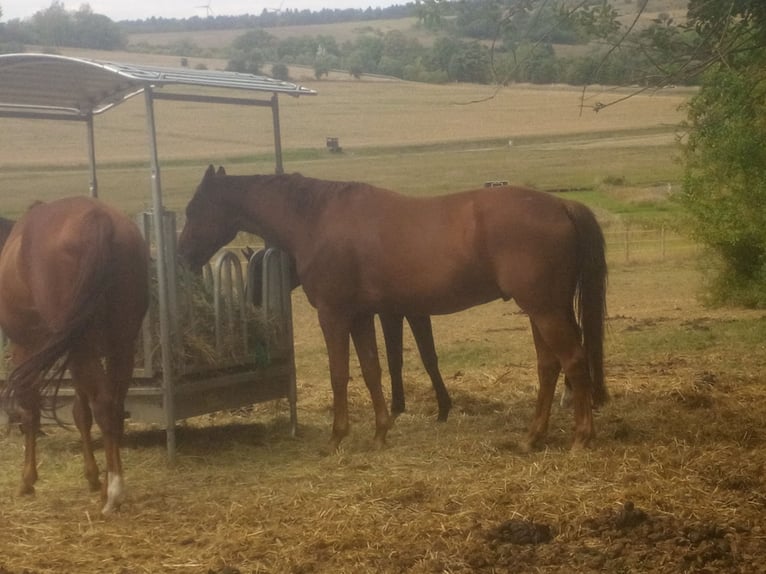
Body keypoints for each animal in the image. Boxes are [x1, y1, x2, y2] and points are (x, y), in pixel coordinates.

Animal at [0, 197, 150, 514]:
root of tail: (98, 219)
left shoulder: (25, 349)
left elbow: (30, 409)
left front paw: (27, 480)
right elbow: (81, 412)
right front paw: (93, 477)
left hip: (81, 347)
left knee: (104, 405)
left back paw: (113, 493)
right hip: (119, 345)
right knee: (112, 408)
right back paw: (108, 486)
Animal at [243, 246, 452, 421]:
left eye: (260, 274)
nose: (252, 306)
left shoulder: (406, 314)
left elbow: (425, 357)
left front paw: (442, 407)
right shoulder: (392, 314)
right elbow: (396, 360)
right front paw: (399, 405)